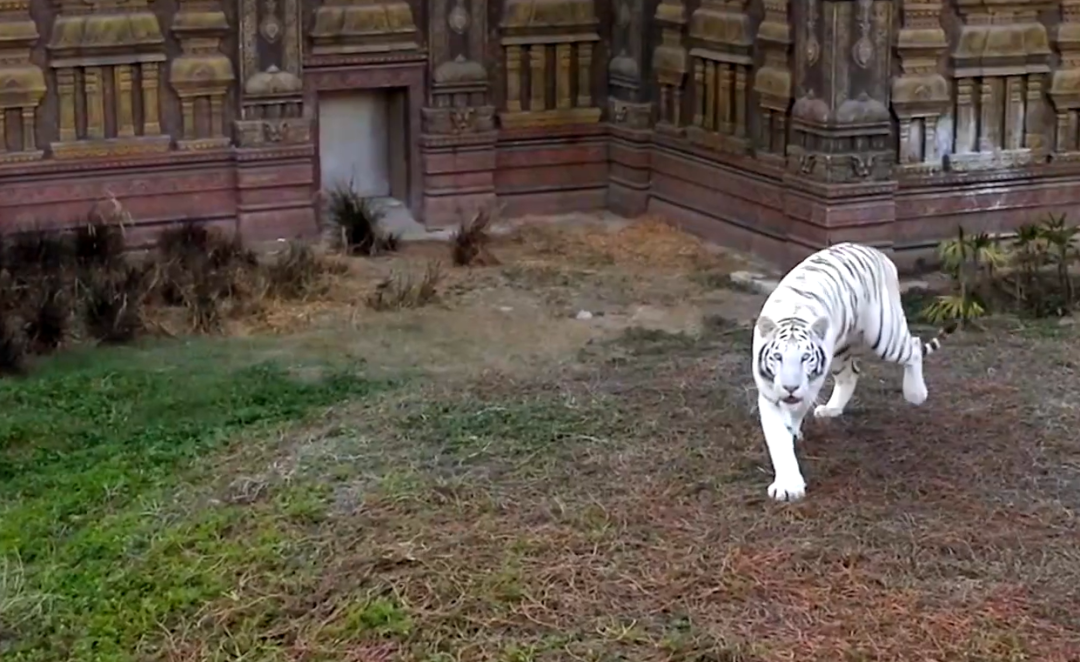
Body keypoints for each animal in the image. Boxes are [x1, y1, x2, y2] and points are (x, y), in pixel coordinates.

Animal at [750, 242, 954, 502]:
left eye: (805, 358)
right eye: (778, 357)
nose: (790, 388)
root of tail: (878, 252)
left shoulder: (808, 387)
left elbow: (795, 413)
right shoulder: (769, 394)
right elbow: (779, 437)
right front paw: (788, 484)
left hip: (885, 335)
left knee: (915, 347)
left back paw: (916, 394)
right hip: (840, 349)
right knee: (850, 374)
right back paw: (832, 409)